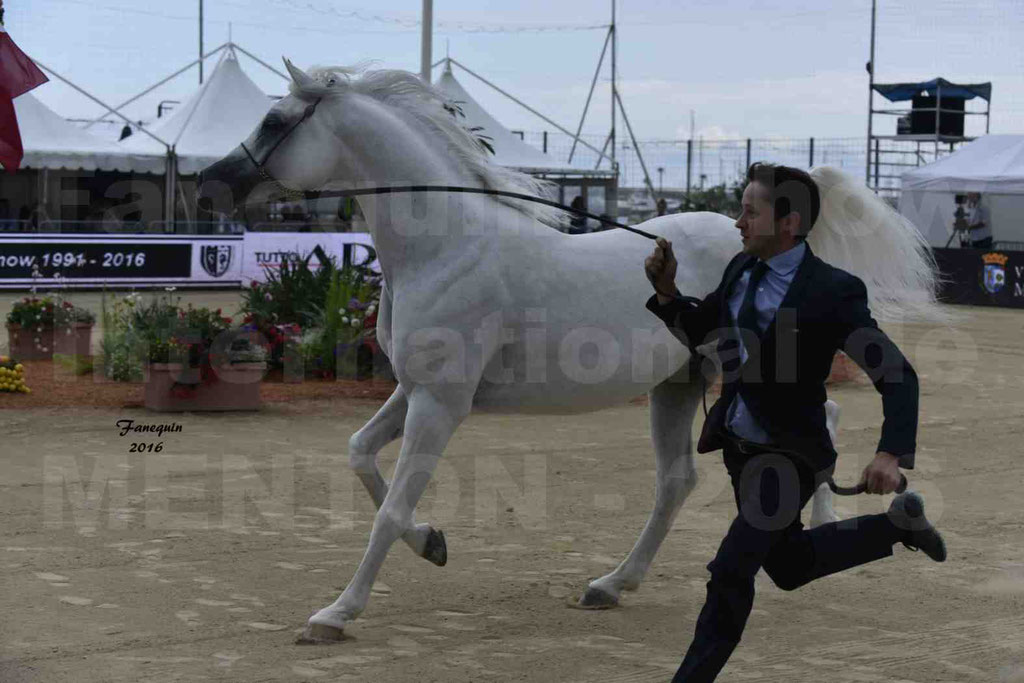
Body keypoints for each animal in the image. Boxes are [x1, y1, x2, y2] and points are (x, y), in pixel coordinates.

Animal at [195, 58, 937, 643]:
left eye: (274, 121)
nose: (210, 184)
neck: (446, 247)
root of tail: (743, 237)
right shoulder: (414, 390)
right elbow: (359, 456)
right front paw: (433, 544)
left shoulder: (441, 403)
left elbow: (387, 510)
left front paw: (335, 614)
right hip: (677, 387)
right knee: (679, 480)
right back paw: (611, 584)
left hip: (740, 378)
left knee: (821, 423)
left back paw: (835, 509)